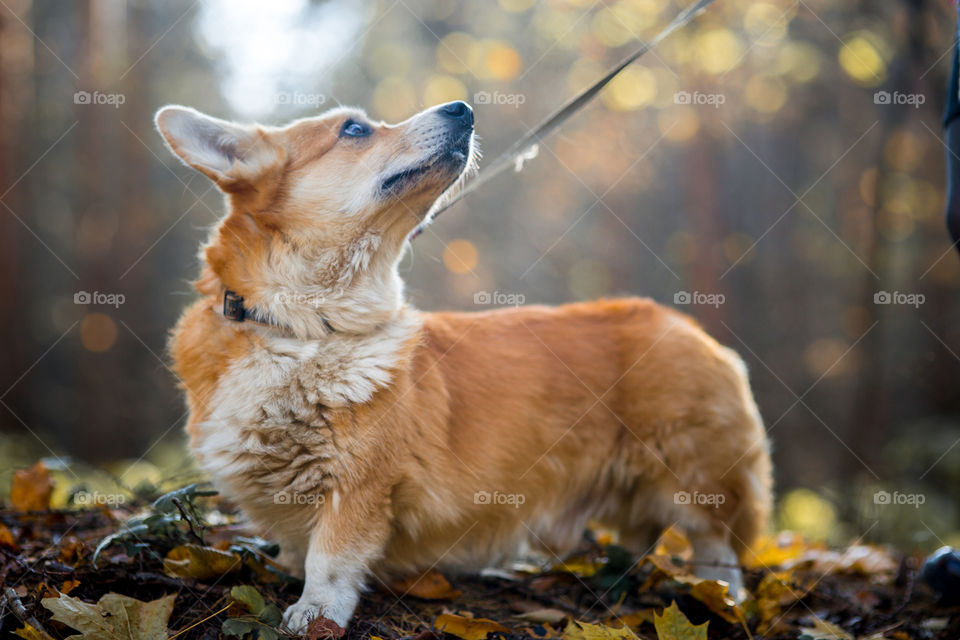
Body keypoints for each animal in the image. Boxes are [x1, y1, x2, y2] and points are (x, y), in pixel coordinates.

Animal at [156, 101, 772, 636]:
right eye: (353, 129)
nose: (463, 108)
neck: (304, 330)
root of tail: (682, 322)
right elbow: (296, 549)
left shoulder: (359, 488)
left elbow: (329, 561)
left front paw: (314, 616)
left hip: (693, 474)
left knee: (715, 545)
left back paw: (725, 600)